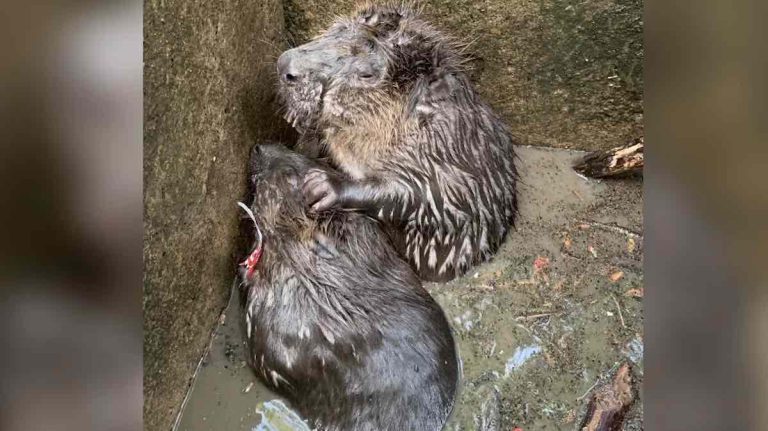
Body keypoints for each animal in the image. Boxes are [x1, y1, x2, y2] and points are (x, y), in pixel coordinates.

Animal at [276, 3, 518, 282]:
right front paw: (297, 119)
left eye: (366, 74)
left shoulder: (448, 158)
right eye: (337, 30)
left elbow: (422, 199)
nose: (285, 65)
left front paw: (322, 186)